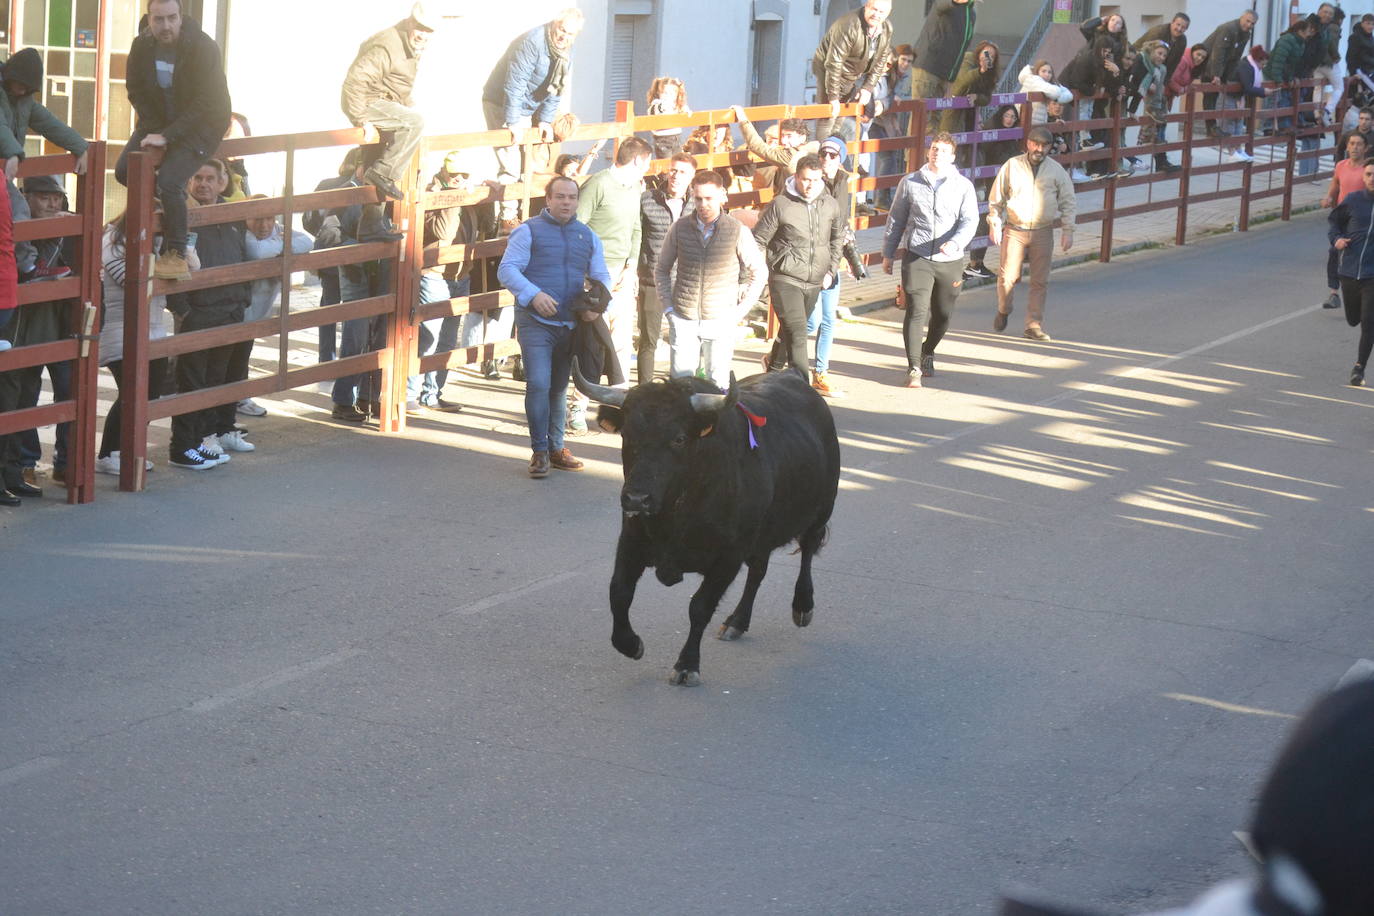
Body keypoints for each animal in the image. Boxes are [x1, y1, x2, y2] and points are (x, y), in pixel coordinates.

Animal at [568, 362, 835, 683]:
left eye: (679, 438)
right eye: (627, 435)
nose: (636, 499)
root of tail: (794, 377)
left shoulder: (728, 557)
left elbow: (700, 607)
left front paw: (687, 665)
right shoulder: (631, 541)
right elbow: (618, 592)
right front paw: (631, 644)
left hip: (821, 510)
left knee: (807, 551)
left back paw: (802, 606)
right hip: (762, 535)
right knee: (758, 571)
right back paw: (737, 622)